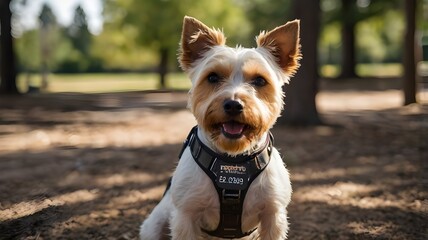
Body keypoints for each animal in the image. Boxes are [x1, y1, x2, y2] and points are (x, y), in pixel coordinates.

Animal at [140, 15, 300, 239]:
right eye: (213, 77)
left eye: (260, 80)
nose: (233, 104)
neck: (232, 159)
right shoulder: (185, 217)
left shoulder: (273, 215)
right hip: (154, 225)